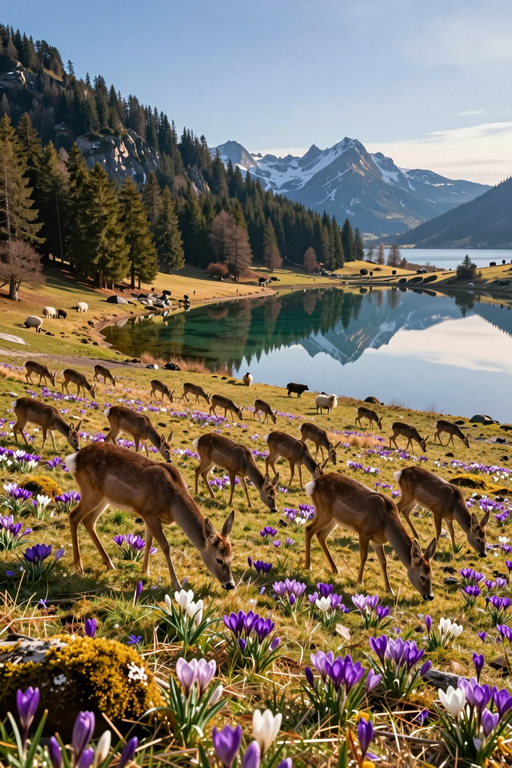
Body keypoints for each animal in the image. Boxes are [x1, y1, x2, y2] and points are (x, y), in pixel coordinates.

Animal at [65, 442, 235, 591]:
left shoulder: (148, 514)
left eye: (232, 558)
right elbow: (165, 546)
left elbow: (148, 542)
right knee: (73, 516)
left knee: (89, 521)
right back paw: (79, 565)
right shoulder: (150, 513)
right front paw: (176, 584)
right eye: (219, 559)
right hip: (91, 490)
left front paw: (145, 571)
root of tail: (74, 458)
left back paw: (109, 563)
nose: (230, 585)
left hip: (104, 498)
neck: (172, 502)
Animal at [305, 472, 437, 598]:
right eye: (422, 576)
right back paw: (308, 565)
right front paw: (359, 581)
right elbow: (364, 556)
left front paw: (390, 590)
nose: (430, 596)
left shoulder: (377, 540)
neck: (386, 523)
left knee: (321, 535)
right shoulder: (364, 532)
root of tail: (312, 484)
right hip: (324, 512)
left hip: (335, 519)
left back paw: (335, 568)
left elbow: (383, 562)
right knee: (308, 529)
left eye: (431, 575)